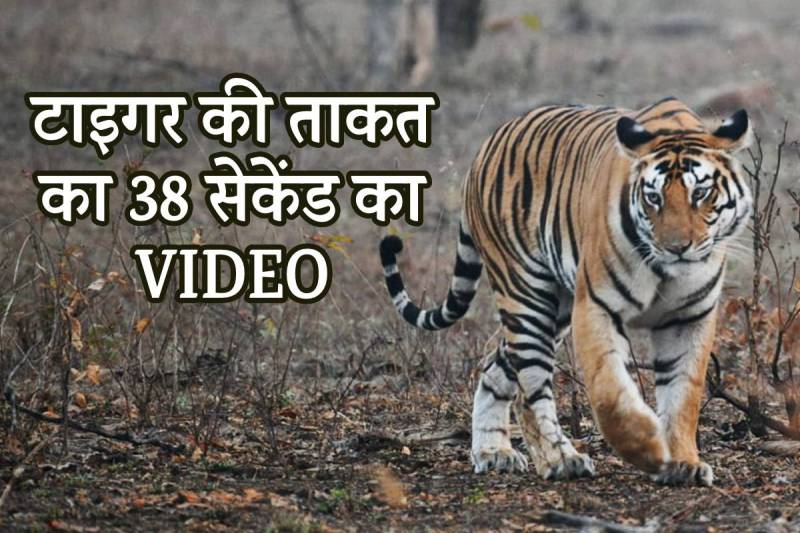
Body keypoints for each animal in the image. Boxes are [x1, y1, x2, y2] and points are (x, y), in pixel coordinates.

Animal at [379, 97, 752, 486]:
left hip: (554, 308)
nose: (677, 248)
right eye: (653, 198)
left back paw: (493, 451)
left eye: (701, 193)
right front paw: (647, 447)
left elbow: (683, 395)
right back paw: (560, 460)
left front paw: (683, 463)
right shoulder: (596, 306)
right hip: (527, 298)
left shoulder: (689, 317)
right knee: (531, 391)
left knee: (494, 367)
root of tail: (485, 148)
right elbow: (608, 392)